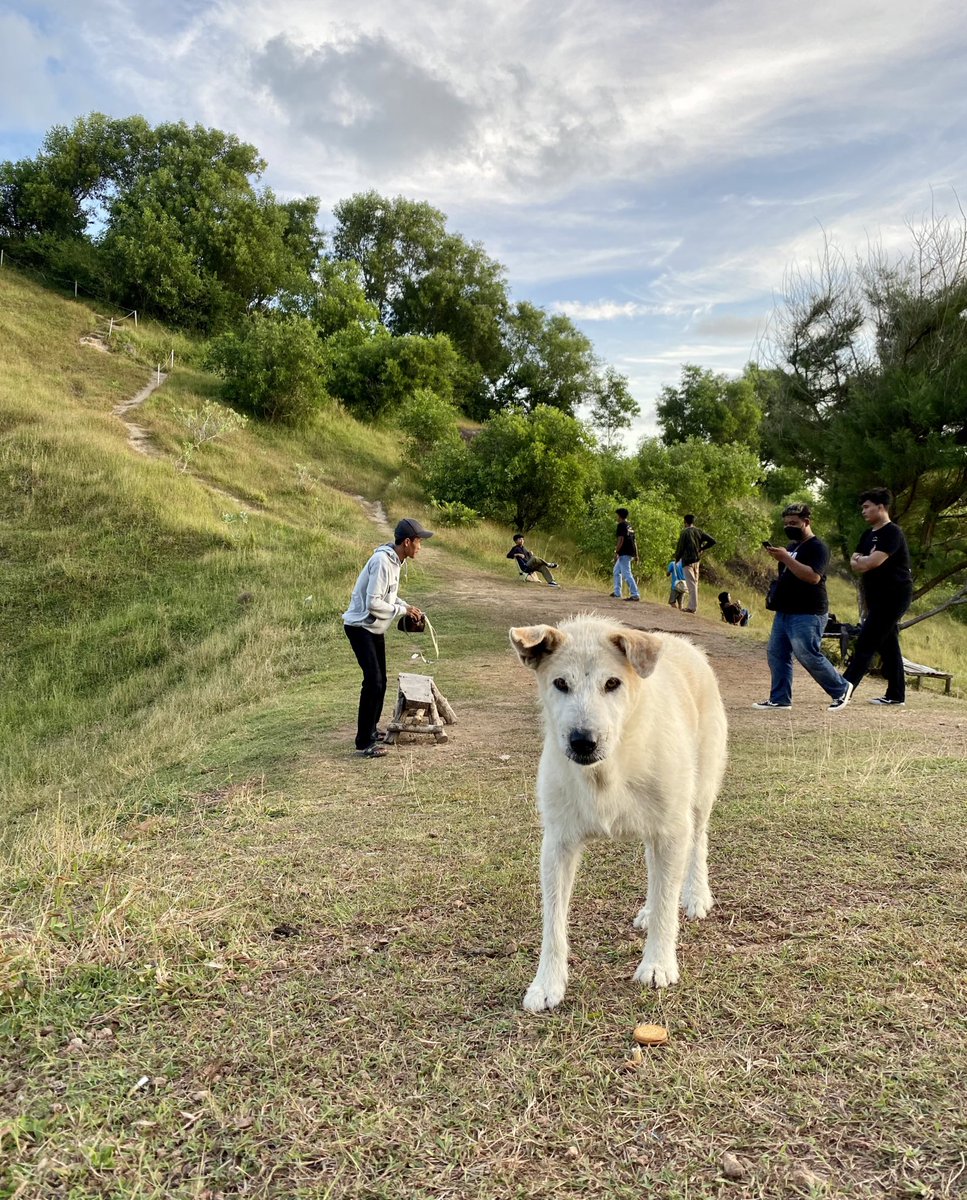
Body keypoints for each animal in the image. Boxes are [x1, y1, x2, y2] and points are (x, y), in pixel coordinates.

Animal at [515, 614, 729, 1008]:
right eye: (560, 683)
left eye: (612, 683)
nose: (582, 741)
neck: (607, 769)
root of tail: (684, 644)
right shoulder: (558, 844)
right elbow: (553, 920)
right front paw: (547, 983)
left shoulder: (671, 830)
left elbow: (667, 901)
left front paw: (658, 963)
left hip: (698, 795)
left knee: (696, 844)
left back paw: (695, 896)